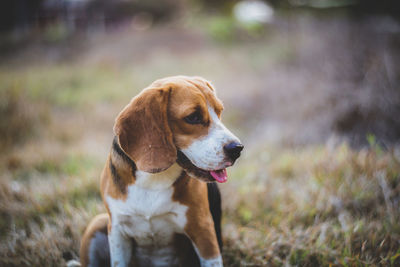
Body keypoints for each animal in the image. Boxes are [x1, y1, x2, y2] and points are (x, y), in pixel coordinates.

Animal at [79, 76, 242, 267]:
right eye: (193, 117)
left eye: (219, 111)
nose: (237, 149)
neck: (153, 179)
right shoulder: (118, 231)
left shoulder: (203, 230)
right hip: (98, 222)